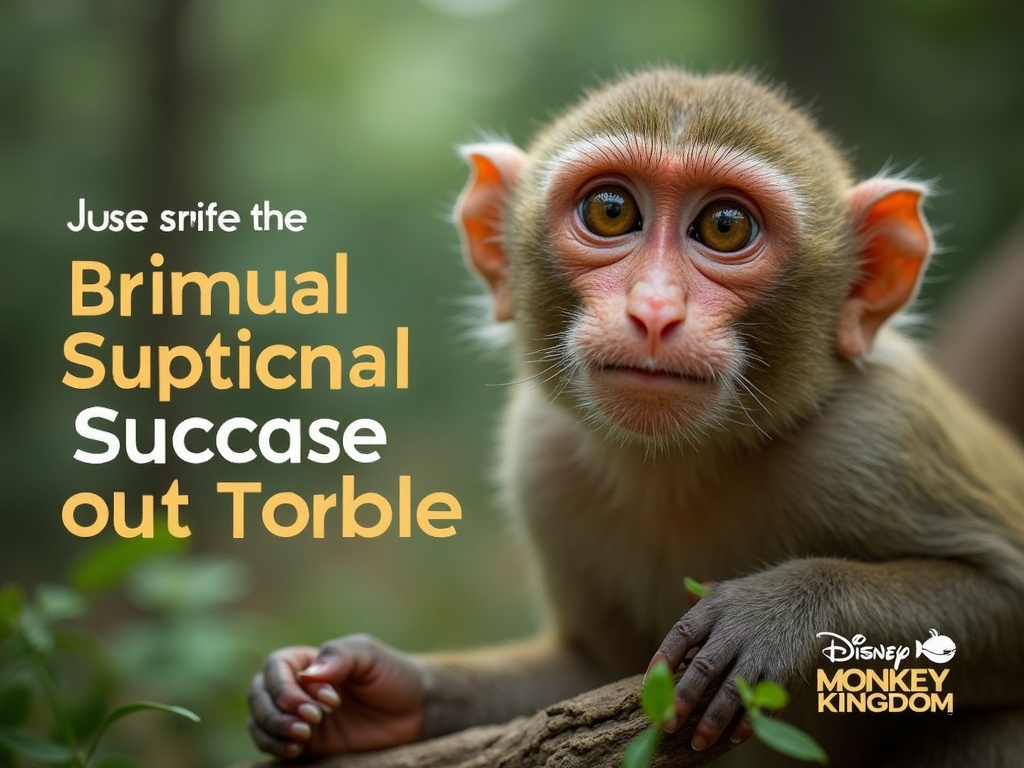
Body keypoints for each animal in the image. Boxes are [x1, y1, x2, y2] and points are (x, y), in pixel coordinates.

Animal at [247, 69, 1024, 766]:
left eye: (725, 225)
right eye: (612, 211)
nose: (652, 311)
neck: (680, 464)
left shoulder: (878, 436)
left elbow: (1010, 597)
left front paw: (779, 613)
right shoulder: (542, 465)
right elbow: (588, 671)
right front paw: (368, 693)